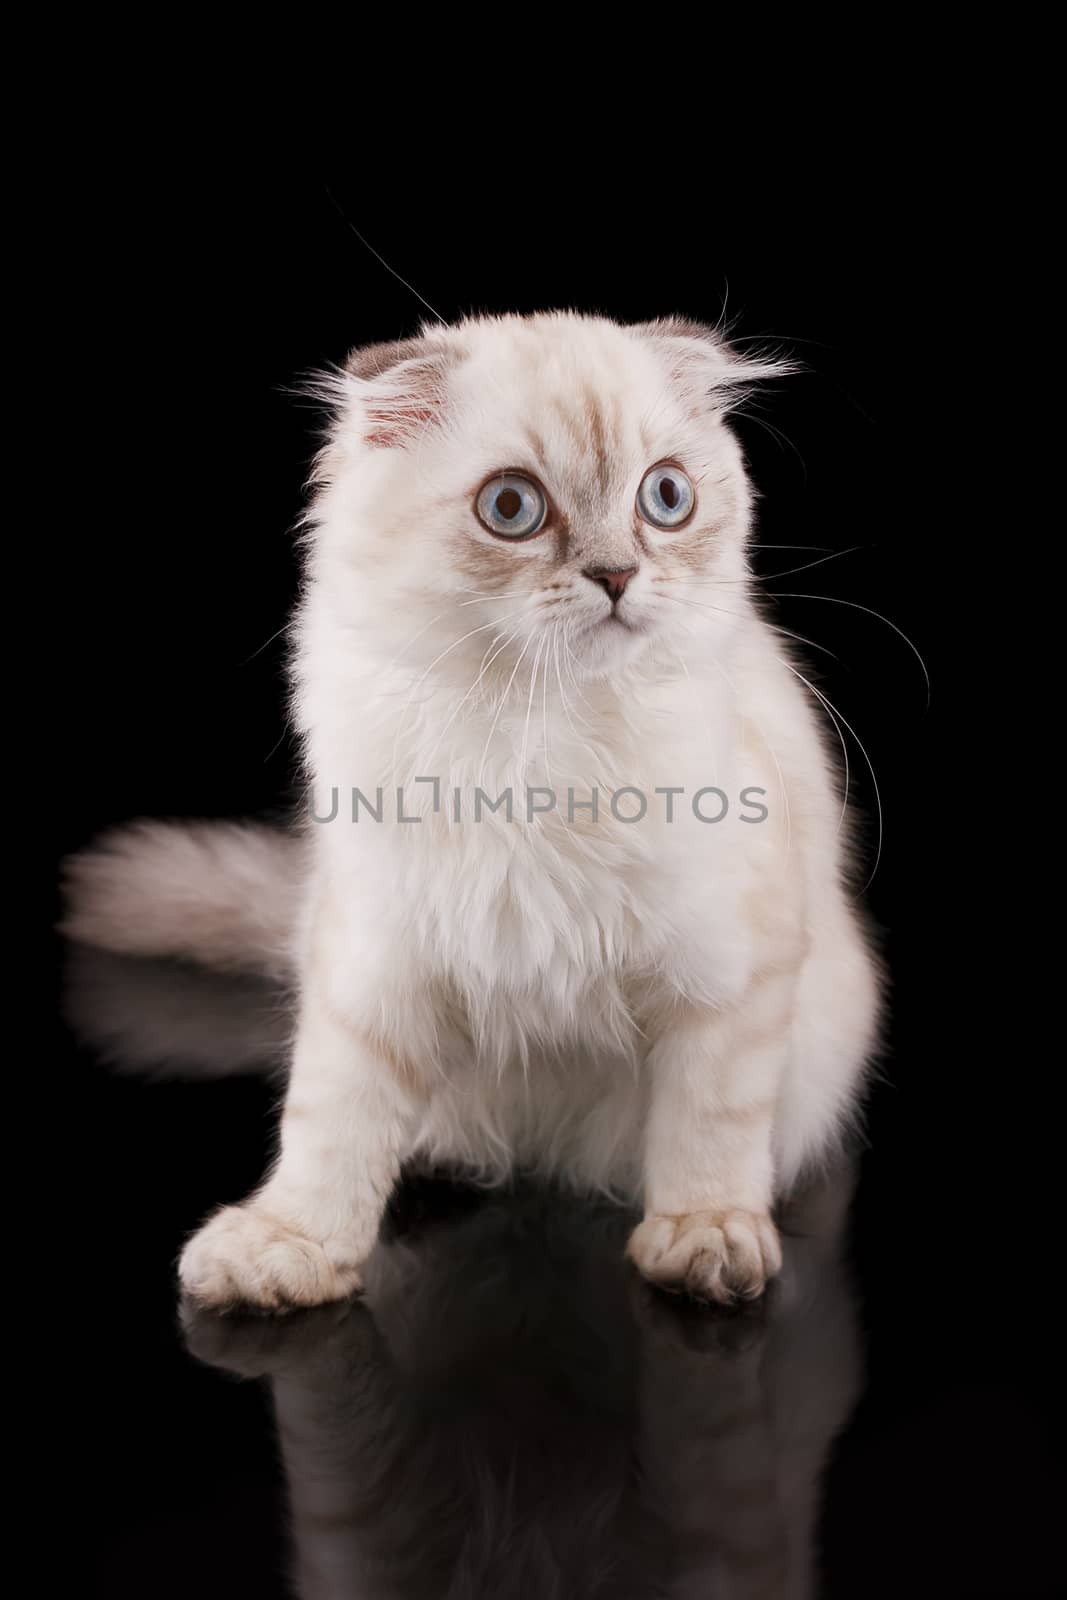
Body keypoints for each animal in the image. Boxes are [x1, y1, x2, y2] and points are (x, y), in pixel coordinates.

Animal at [68, 305, 883, 1305]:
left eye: (665, 498)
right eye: (511, 509)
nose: (617, 576)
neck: (538, 737)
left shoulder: (727, 974)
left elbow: (708, 1128)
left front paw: (704, 1241)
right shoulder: (372, 964)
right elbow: (328, 1124)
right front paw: (289, 1247)